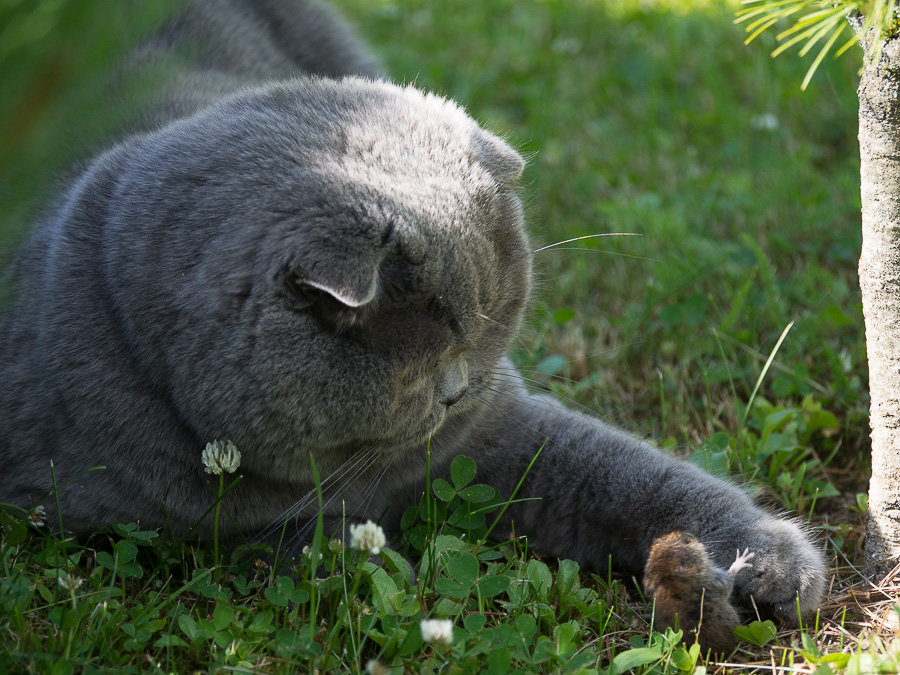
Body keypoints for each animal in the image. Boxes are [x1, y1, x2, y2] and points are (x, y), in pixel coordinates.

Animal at [3, 0, 828, 628]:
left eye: (492, 319)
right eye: (421, 355)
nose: (457, 390)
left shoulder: (504, 433)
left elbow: (637, 475)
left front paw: (770, 557)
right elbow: (268, 543)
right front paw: (362, 561)